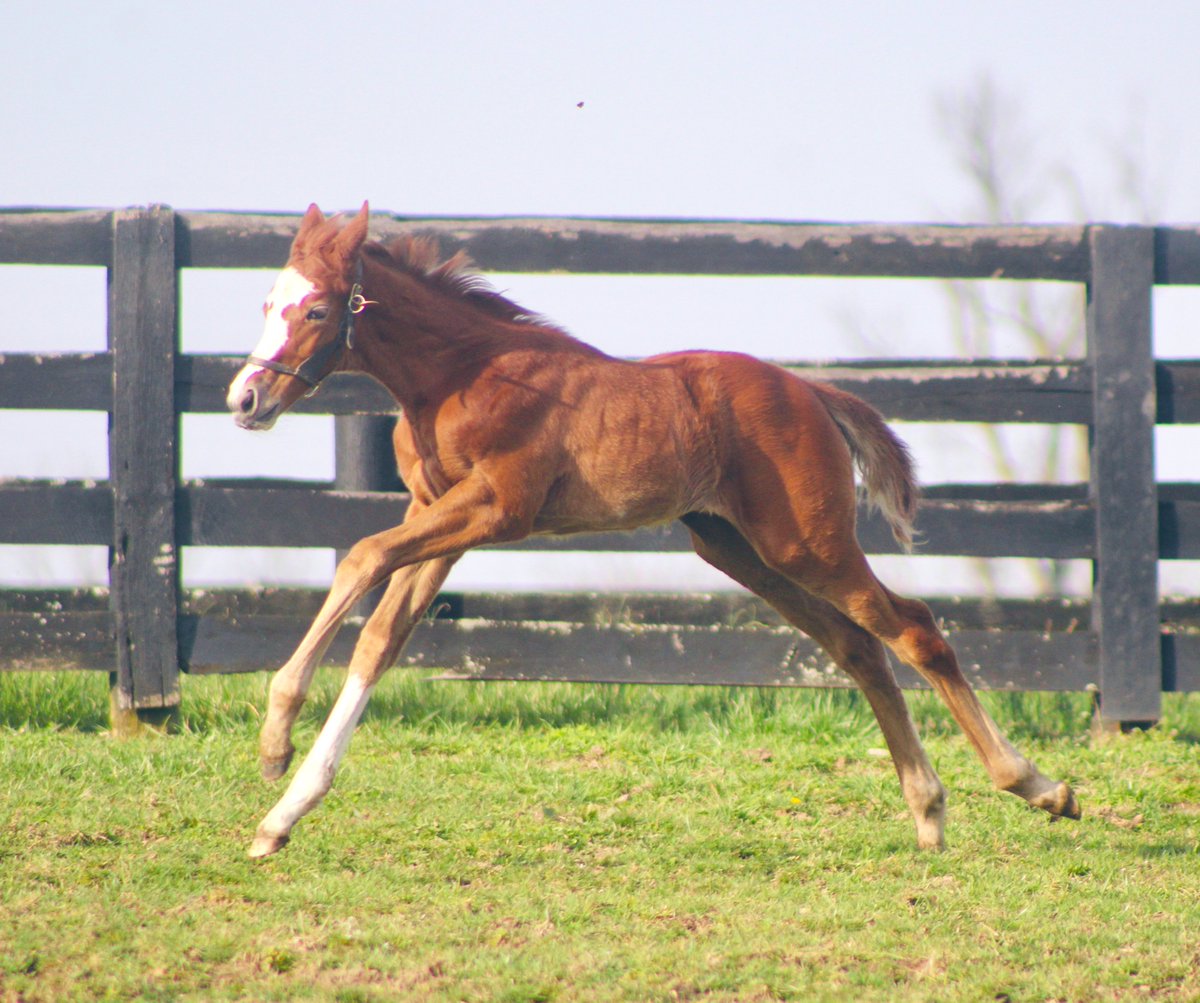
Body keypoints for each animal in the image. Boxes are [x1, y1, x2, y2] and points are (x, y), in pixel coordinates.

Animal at [227, 202, 1080, 859]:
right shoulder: (438, 516)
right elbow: (380, 637)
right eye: (267, 304)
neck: (460, 372)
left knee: (914, 628)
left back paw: (1037, 785)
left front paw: (274, 739)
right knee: (861, 646)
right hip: (741, 549)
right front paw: (280, 814)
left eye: (315, 309)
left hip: (809, 542)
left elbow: (360, 557)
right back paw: (929, 811)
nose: (244, 399)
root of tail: (809, 389)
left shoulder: (496, 507)